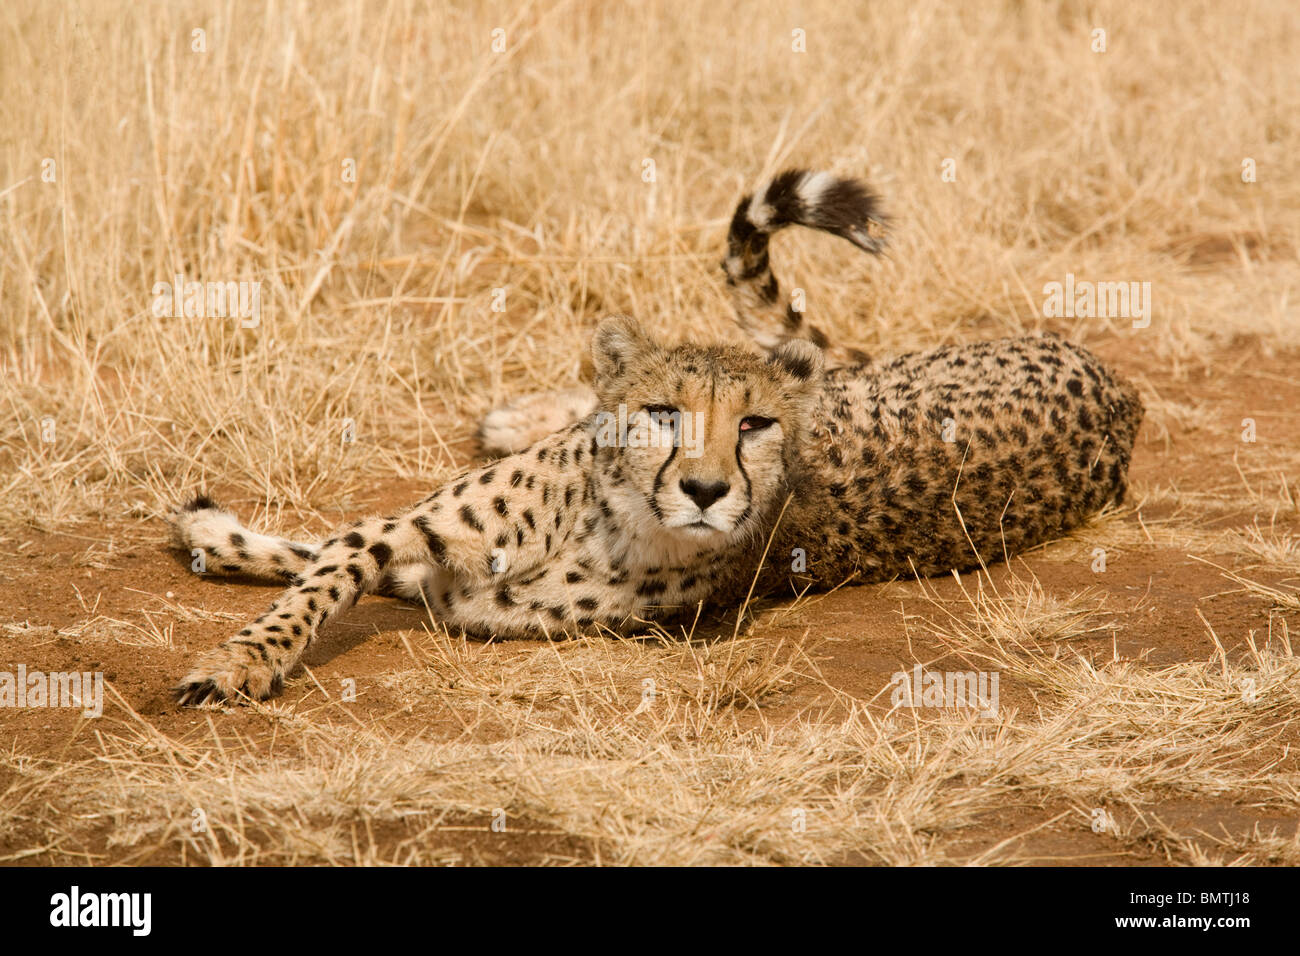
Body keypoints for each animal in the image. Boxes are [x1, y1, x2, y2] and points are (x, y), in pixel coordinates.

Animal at [167, 167, 1144, 702]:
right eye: (666, 413)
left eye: (753, 425)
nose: (705, 490)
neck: (607, 516)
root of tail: (1118, 388)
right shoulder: (414, 538)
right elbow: (320, 568)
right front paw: (238, 647)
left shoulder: (462, 601)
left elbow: (333, 557)